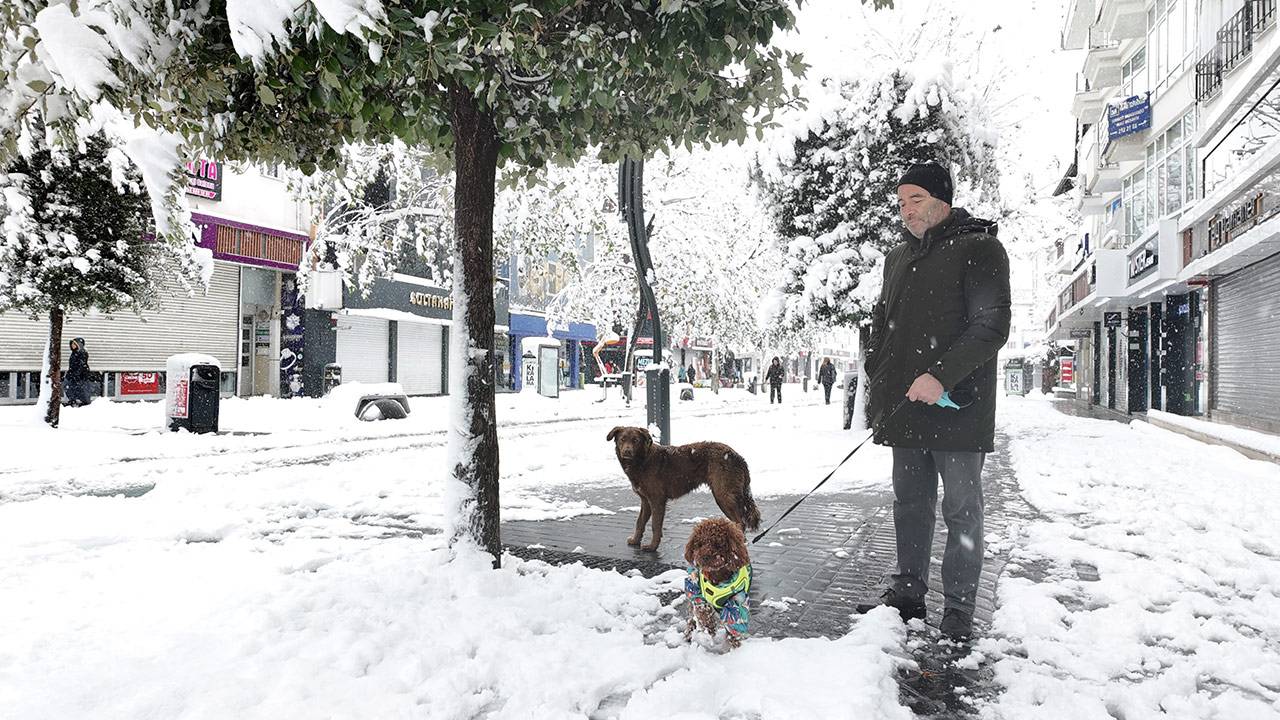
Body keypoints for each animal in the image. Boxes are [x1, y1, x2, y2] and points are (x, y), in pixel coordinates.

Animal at [601, 425, 752, 548]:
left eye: (635, 440)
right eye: (622, 439)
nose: (627, 451)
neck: (643, 460)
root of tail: (737, 456)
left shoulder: (657, 500)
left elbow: (655, 525)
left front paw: (652, 547)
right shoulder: (645, 501)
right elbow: (640, 522)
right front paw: (635, 540)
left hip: (723, 496)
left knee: (740, 522)